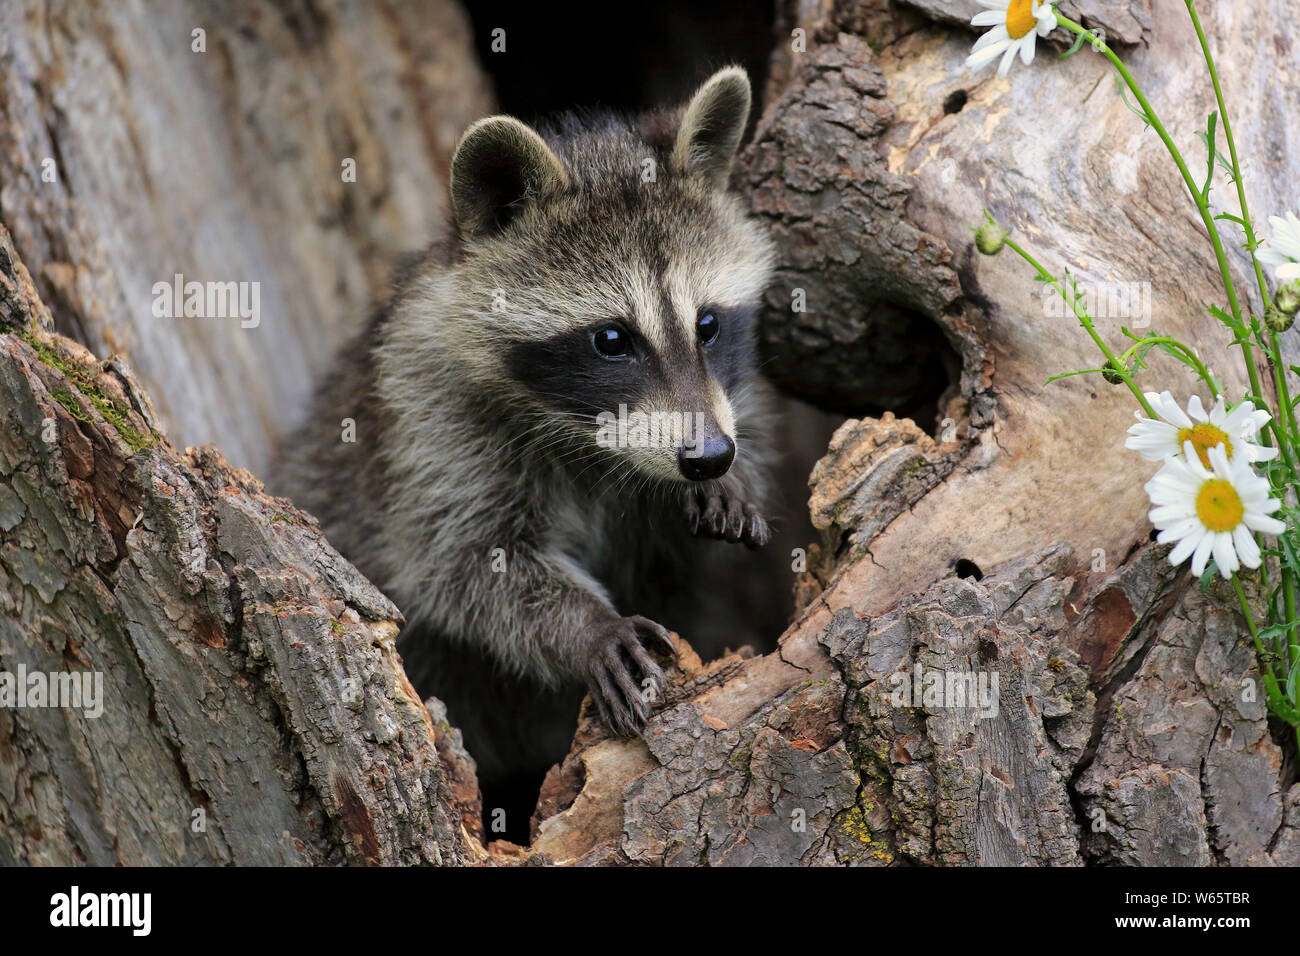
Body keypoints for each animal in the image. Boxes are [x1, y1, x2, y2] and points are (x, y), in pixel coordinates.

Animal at [272, 67, 777, 801]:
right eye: (611, 340)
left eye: (708, 325)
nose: (707, 456)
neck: (591, 440)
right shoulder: (431, 418)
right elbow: (464, 565)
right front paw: (587, 628)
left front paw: (733, 480)